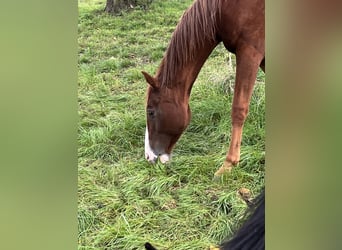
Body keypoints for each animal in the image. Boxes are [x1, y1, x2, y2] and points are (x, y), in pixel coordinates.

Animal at [142, 0, 264, 176]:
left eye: (150, 112)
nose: (148, 156)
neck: (223, 9)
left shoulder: (250, 52)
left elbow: (238, 110)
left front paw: (228, 164)